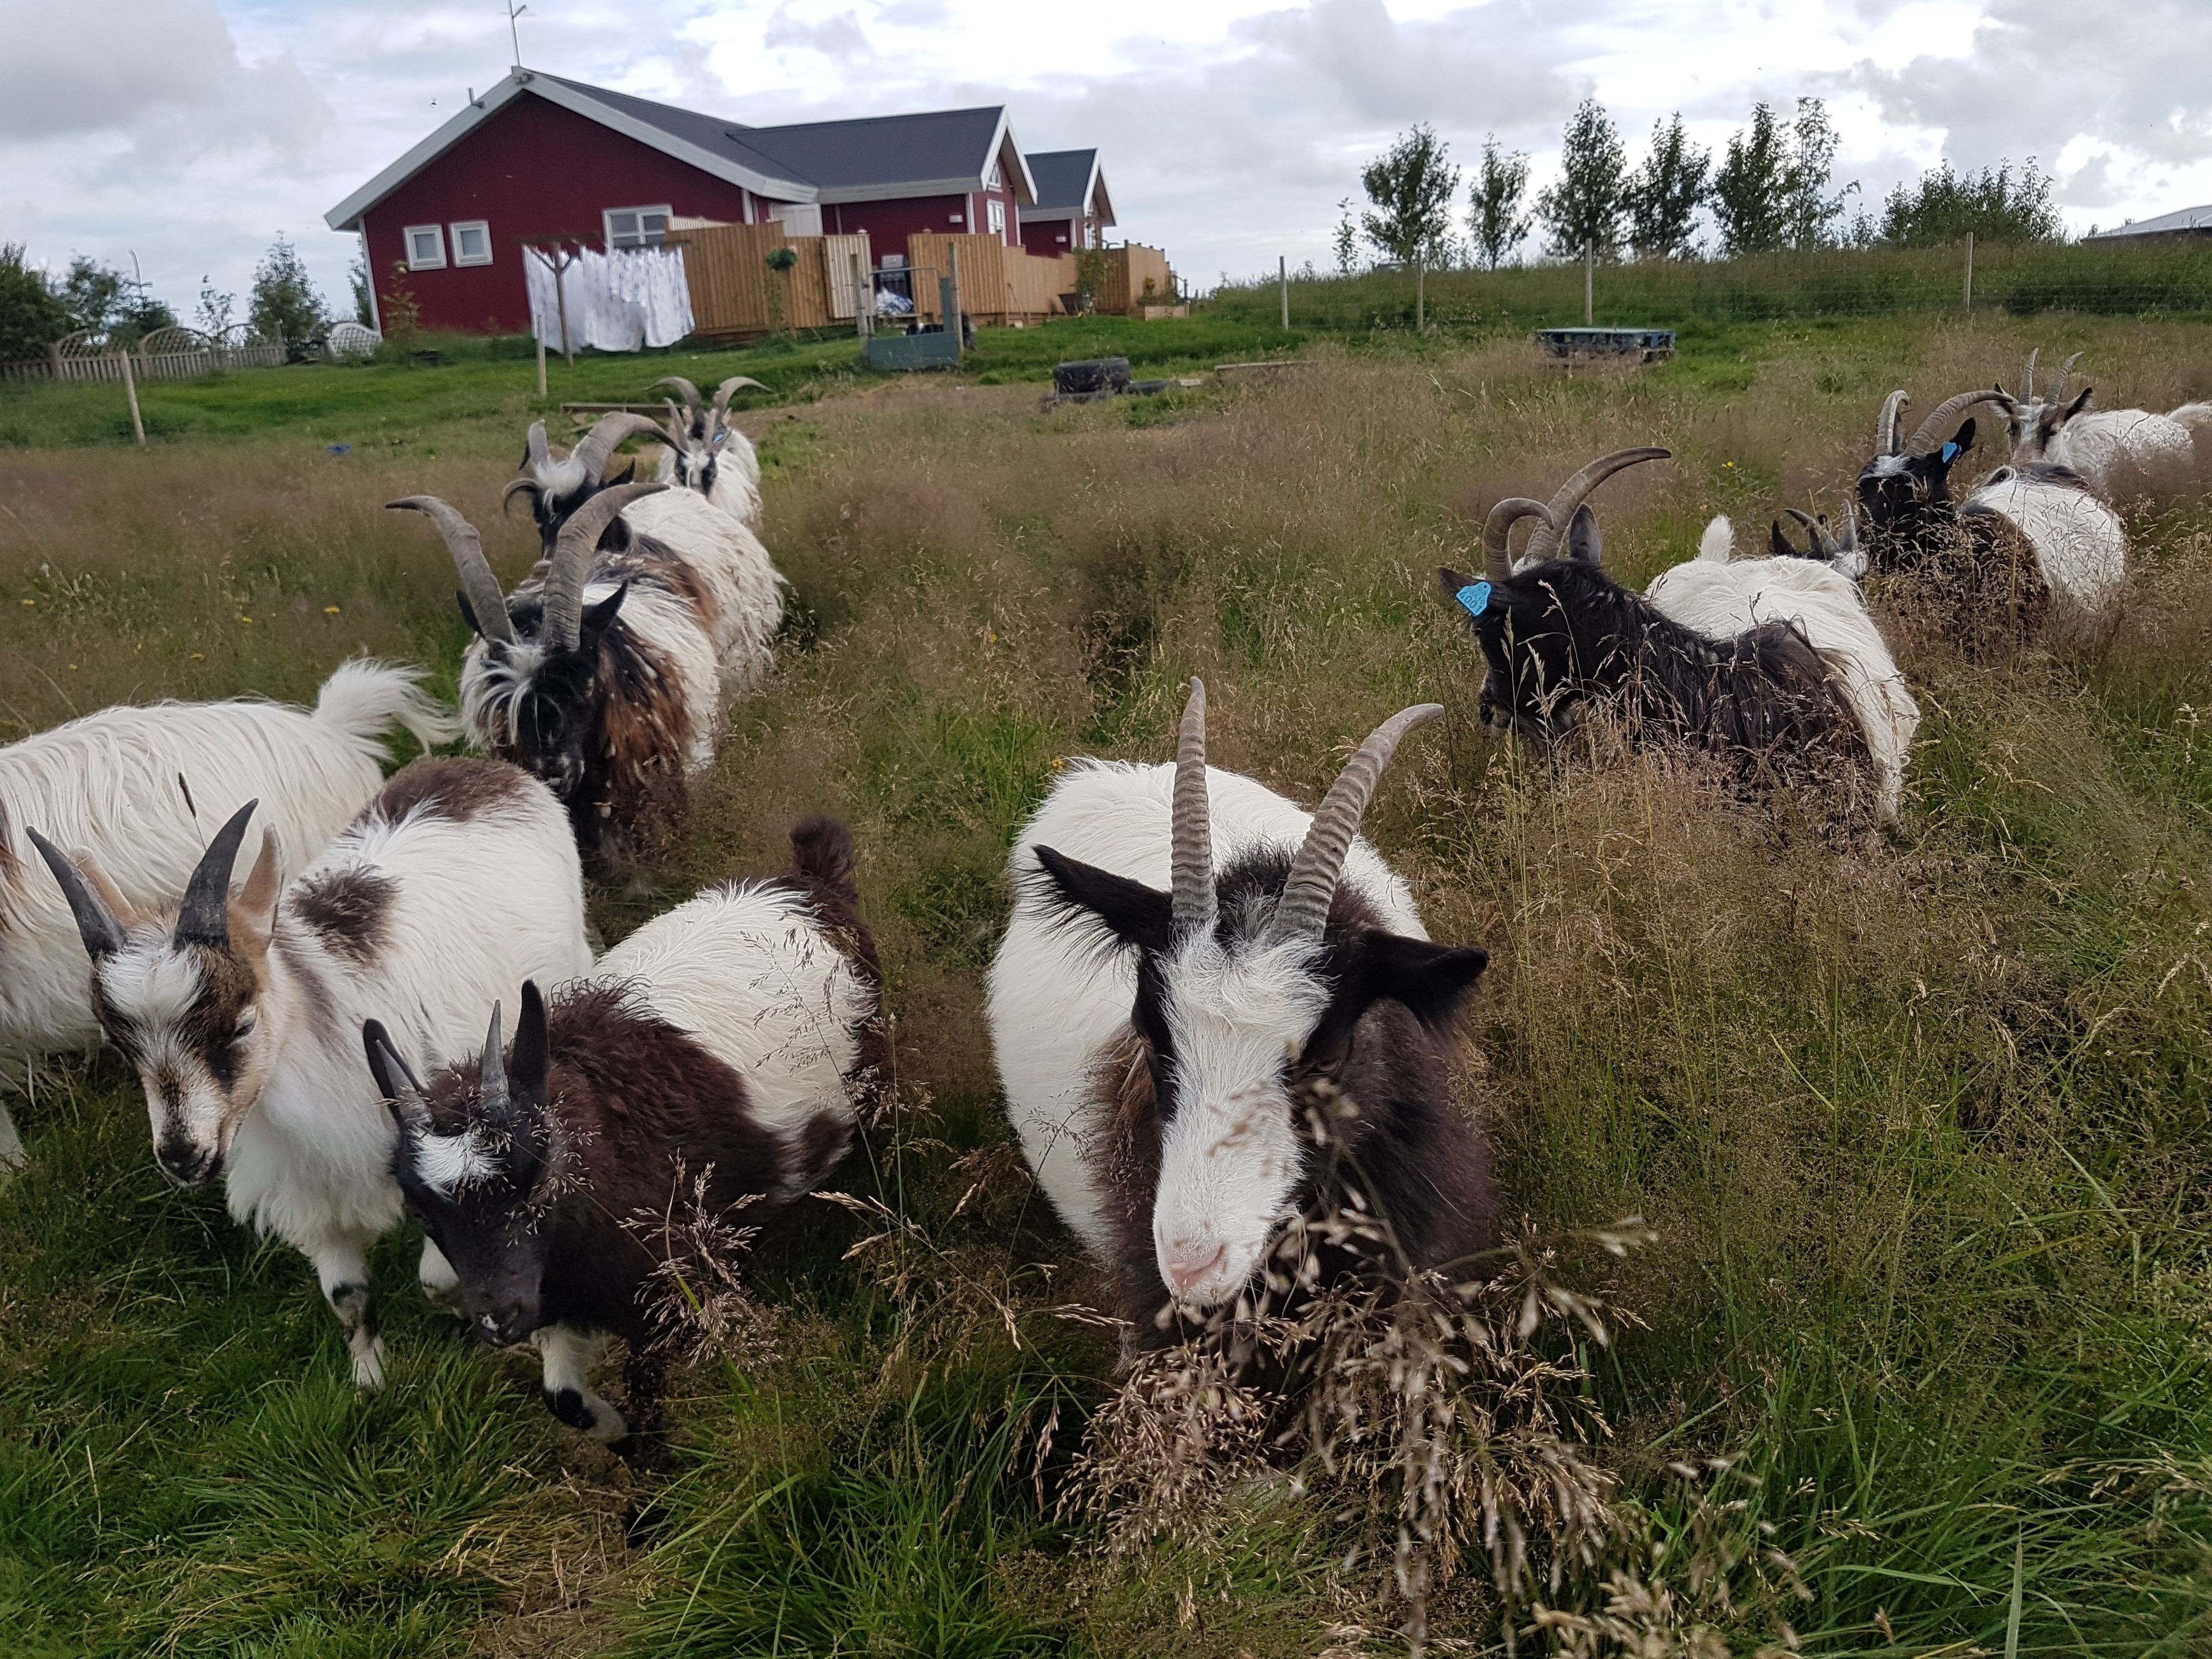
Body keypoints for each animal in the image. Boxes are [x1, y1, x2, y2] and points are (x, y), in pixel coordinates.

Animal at [31, 759, 592, 1385]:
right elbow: (346, 1296)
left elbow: (436, 1278)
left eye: (243, 1025)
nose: (181, 1156)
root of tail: (485, 768)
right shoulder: (309, 1194)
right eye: (121, 1043)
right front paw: (371, 1381)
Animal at [364, 817, 881, 1448]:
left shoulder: (663, 1291)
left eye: (536, 1180)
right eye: (419, 1211)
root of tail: (807, 885)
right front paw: (614, 1431)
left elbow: (648, 1387)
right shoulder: (558, 1297)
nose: (497, 1319)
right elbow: (565, 1400)